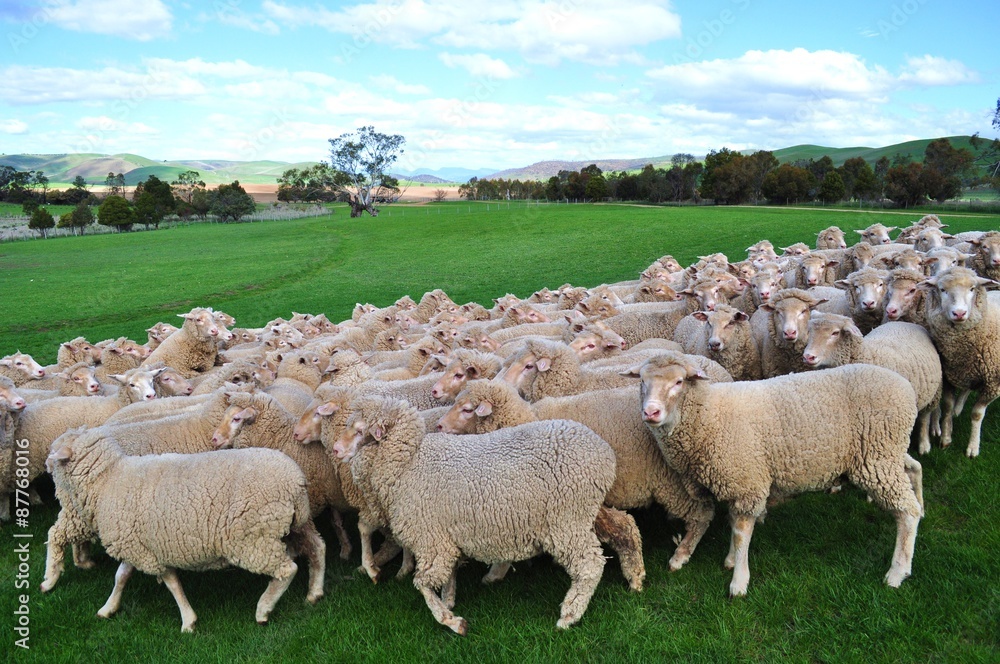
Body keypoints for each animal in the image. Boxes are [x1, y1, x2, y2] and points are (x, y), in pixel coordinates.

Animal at [328, 394, 624, 632]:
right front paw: (448, 600)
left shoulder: (431, 540)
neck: (407, 463)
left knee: (590, 564)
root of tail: (605, 453)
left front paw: (451, 621)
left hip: (567, 520)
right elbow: (446, 575)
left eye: (359, 430)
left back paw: (570, 614)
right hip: (580, 517)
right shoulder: (444, 537)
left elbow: (423, 583)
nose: (335, 450)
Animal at [438, 382, 712, 572]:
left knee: (703, 513)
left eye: (467, 409)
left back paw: (681, 555)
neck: (526, 419)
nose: (439, 426)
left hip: (670, 482)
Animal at [628, 356, 924, 600]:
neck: (708, 415)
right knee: (913, 470)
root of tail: (906, 387)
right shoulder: (740, 481)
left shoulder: (747, 483)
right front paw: (731, 559)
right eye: (642, 381)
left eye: (678, 382)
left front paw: (738, 582)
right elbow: (734, 523)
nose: (651, 412)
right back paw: (922, 511)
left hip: (877, 457)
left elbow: (741, 533)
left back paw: (898, 570)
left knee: (905, 512)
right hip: (887, 453)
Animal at [800, 314, 940, 454]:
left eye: (835, 333)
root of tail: (907, 323)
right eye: (810, 331)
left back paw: (924, 445)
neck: (867, 354)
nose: (808, 356)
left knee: (925, 416)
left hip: (933, 393)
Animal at [916, 266, 1000, 456]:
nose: (959, 313)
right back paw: (958, 408)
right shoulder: (949, 375)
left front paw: (973, 447)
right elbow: (947, 405)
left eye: (972, 288)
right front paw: (946, 437)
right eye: (942, 289)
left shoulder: (992, 384)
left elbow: (977, 414)